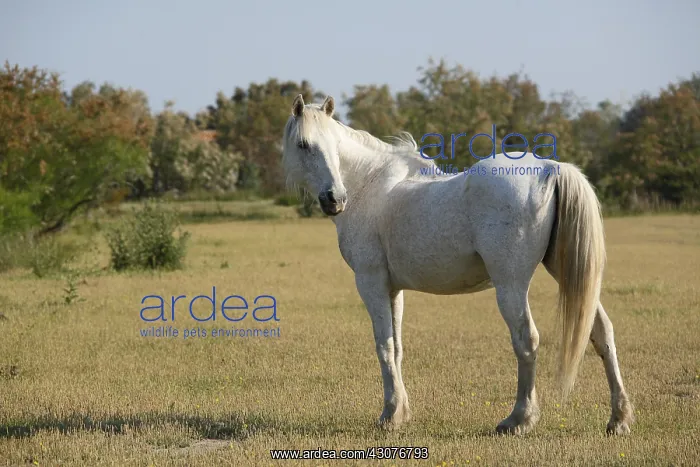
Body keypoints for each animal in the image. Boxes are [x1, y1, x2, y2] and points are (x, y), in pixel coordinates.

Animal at [281, 94, 634, 436]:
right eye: (305, 145)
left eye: (331, 145)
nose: (335, 199)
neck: (368, 185)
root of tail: (551, 168)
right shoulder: (393, 290)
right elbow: (397, 348)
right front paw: (401, 412)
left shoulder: (371, 284)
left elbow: (384, 347)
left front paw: (390, 415)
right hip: (568, 276)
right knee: (602, 332)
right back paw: (618, 419)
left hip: (511, 285)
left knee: (527, 341)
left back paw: (518, 419)